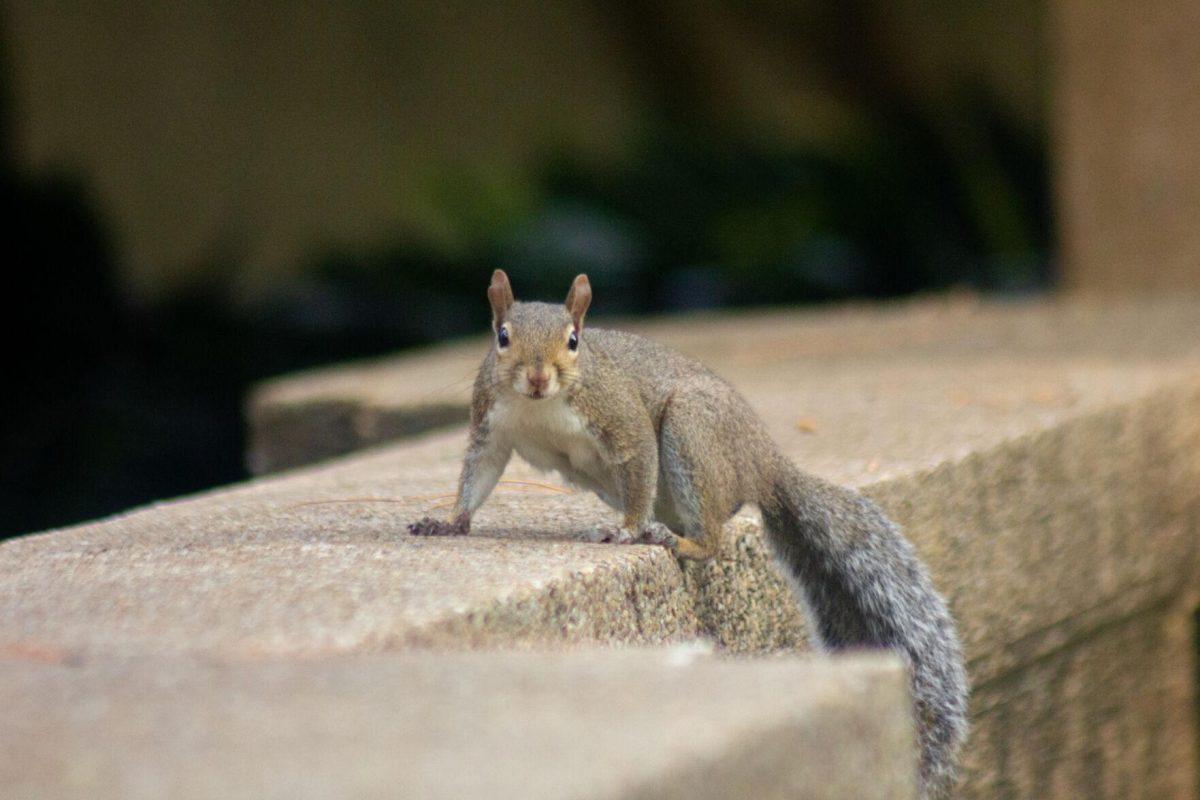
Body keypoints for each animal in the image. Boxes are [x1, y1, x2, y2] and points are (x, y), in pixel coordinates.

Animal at [408, 272, 969, 796]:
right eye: (502, 336)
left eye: (573, 340)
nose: (539, 377)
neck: (539, 406)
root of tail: (765, 463)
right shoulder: (492, 424)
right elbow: (477, 477)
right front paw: (448, 522)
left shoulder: (622, 420)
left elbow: (638, 463)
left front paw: (627, 531)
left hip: (691, 428)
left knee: (713, 536)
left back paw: (678, 540)